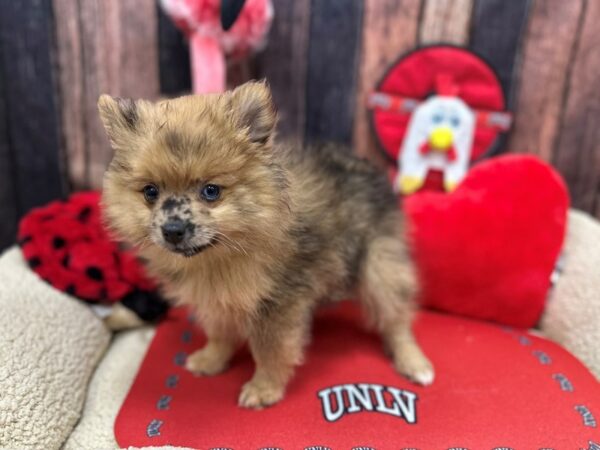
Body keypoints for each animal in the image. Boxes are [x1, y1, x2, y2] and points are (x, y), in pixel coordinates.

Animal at [101, 80, 434, 408]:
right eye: (150, 192)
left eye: (211, 191)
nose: (172, 229)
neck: (218, 258)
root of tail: (368, 166)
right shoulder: (216, 299)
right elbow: (219, 334)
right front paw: (211, 360)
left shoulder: (276, 305)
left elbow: (270, 351)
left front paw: (264, 388)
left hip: (380, 267)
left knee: (396, 319)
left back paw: (413, 362)